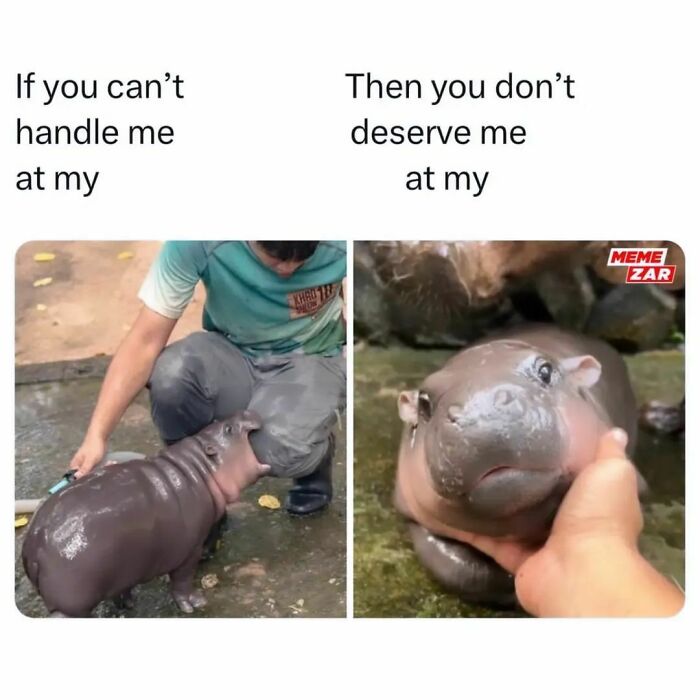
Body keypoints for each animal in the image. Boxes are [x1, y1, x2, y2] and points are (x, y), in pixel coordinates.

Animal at [22, 410, 269, 617]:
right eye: (228, 429)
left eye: (219, 421)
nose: (248, 411)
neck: (201, 468)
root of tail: (32, 545)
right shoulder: (189, 551)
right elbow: (182, 581)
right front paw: (195, 603)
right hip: (70, 606)